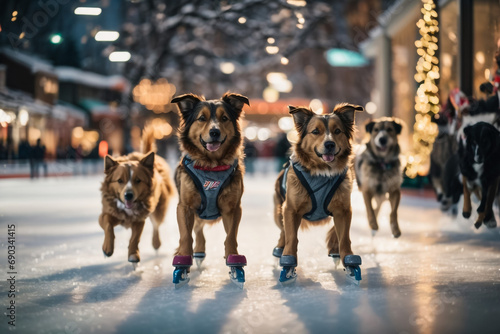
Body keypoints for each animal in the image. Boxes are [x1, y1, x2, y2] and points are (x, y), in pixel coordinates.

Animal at [98, 126, 175, 268]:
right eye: (119, 180)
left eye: (138, 180)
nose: (128, 195)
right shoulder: (106, 213)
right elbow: (108, 226)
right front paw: (107, 248)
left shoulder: (139, 219)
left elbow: (135, 238)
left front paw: (133, 256)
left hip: (158, 211)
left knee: (156, 225)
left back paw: (156, 243)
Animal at [170, 91, 250, 288]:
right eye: (201, 118)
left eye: (224, 118)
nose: (215, 132)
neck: (211, 167)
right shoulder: (185, 207)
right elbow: (186, 236)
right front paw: (182, 263)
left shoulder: (232, 208)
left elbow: (231, 236)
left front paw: (234, 265)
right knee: (196, 230)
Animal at [274, 103, 364, 284]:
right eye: (315, 131)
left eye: (337, 131)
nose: (329, 144)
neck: (323, 172)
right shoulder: (291, 209)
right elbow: (291, 236)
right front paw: (288, 264)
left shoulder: (343, 209)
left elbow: (344, 237)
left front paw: (349, 263)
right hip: (279, 210)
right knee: (283, 231)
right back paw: (280, 249)